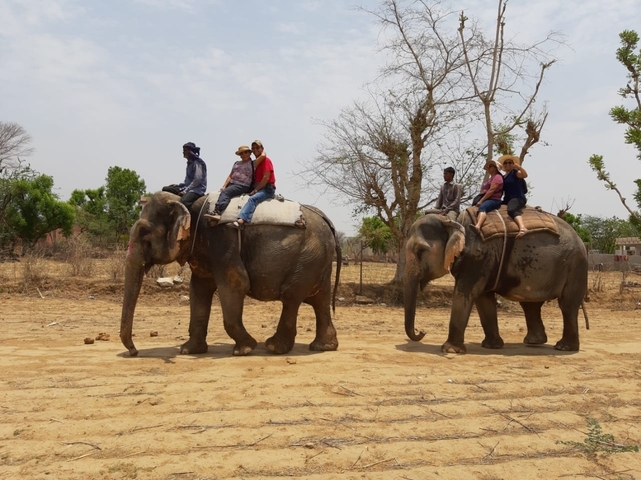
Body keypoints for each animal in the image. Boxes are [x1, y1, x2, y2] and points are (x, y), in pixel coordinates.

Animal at [120, 191, 340, 357]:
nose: (134, 351)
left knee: (291, 297)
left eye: (144, 234)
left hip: (309, 257)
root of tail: (326, 220)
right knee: (319, 299)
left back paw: (274, 347)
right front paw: (188, 351)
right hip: (317, 259)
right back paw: (323, 347)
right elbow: (198, 289)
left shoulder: (223, 241)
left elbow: (236, 283)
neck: (184, 201)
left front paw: (245, 349)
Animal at [403, 211, 588, 353]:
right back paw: (534, 342)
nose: (422, 331)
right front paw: (491, 346)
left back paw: (563, 348)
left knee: (567, 305)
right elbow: (484, 299)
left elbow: (465, 294)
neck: (452, 220)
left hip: (575, 267)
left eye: (420, 251)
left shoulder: (477, 258)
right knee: (530, 304)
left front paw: (450, 350)